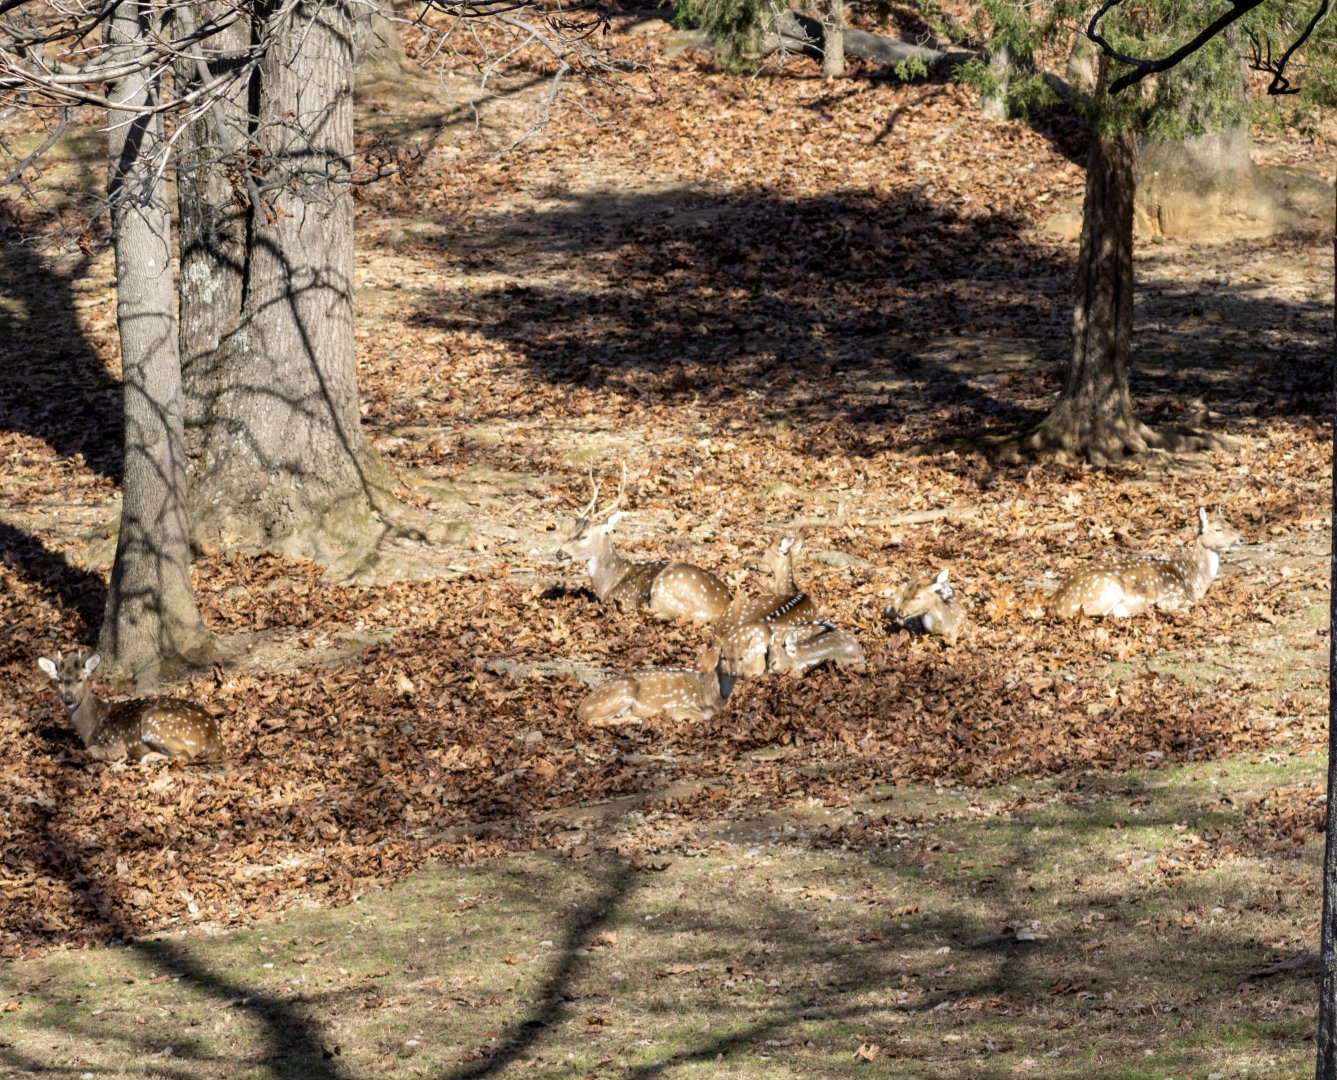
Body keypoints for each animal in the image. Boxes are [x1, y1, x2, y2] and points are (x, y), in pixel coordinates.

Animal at [37, 652, 224, 763]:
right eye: (59, 680)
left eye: (80, 679)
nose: (68, 698)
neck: (90, 728)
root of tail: (216, 740)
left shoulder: (113, 744)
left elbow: (90, 750)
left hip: (154, 723)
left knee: (185, 756)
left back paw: (146, 758)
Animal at [554, 466, 732, 623]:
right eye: (570, 532)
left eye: (584, 536)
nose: (559, 553)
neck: (607, 584)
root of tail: (724, 606)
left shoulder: (624, 598)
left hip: (666, 589)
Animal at [578, 645, 731, 725]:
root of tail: (581, 710)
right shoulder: (676, 707)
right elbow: (700, 716)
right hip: (625, 689)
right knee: (594, 721)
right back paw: (635, 719)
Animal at [1049, 507, 1244, 619]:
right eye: (1218, 529)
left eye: (1230, 524)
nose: (1242, 539)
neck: (1193, 582)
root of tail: (1056, 604)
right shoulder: (1171, 598)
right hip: (1107, 588)